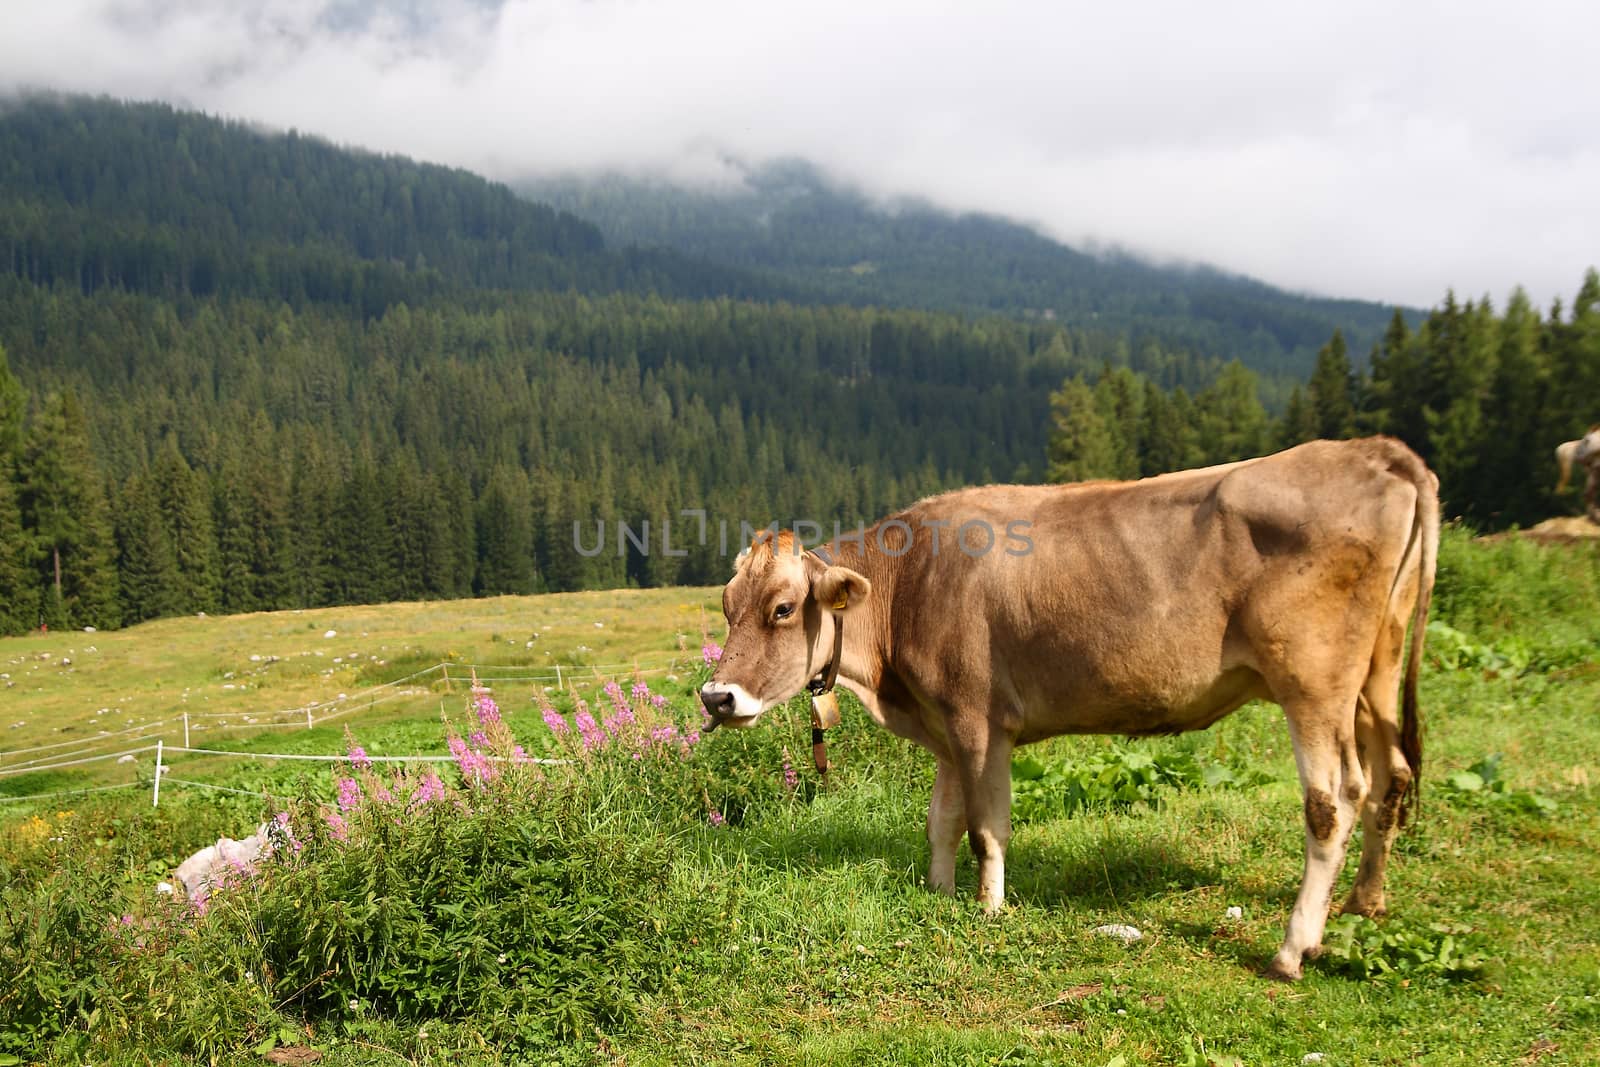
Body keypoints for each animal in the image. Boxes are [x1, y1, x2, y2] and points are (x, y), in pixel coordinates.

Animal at [700, 435, 1440, 979]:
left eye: (783, 608)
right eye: (728, 606)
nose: (715, 696)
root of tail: (1370, 449)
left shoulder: (978, 719)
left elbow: (985, 827)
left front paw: (989, 909)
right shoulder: (943, 723)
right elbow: (941, 821)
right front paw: (939, 893)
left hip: (1313, 681)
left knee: (1332, 800)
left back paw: (1292, 948)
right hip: (1375, 674)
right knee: (1389, 776)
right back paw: (1363, 904)